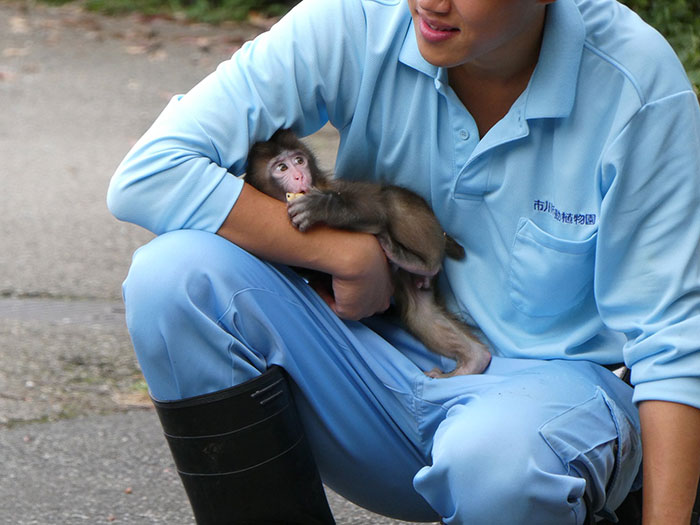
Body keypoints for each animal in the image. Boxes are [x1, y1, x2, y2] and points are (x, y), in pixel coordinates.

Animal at [245, 129, 491, 377]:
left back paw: (424, 262)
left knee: (390, 198)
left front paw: (324, 207)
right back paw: (474, 359)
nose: (298, 176)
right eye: (282, 167)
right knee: (421, 313)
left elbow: (375, 209)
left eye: (298, 161)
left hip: (428, 230)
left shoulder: (331, 187)